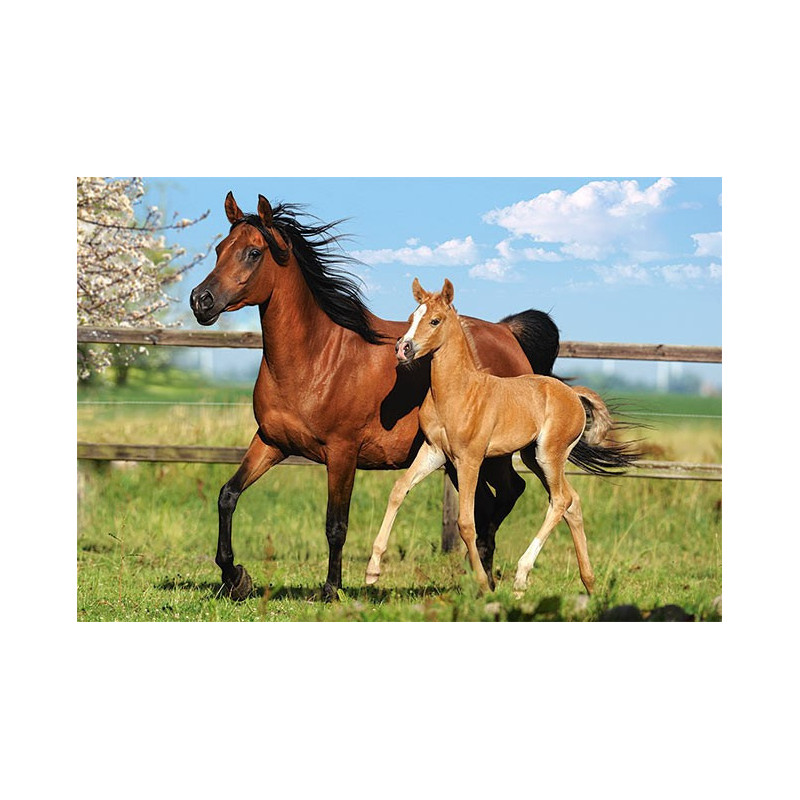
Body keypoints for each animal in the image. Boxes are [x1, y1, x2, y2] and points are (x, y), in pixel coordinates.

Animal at [190, 192, 560, 601]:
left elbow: (336, 524)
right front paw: (235, 577)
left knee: (509, 493)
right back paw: (481, 580)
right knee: (488, 503)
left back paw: (486, 576)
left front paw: (331, 590)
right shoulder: (271, 442)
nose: (201, 301)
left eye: (253, 252)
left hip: (490, 453)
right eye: (220, 249)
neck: (316, 359)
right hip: (457, 460)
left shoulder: (342, 452)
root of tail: (507, 332)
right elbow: (228, 495)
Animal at [366, 278, 638, 595]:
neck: (457, 391)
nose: (403, 349)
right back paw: (590, 584)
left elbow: (466, 522)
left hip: (549, 455)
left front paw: (483, 584)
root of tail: (573, 394)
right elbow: (399, 490)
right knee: (572, 502)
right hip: (533, 457)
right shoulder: (434, 451)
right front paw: (372, 571)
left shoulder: (469, 459)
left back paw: (521, 578)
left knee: (560, 500)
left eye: (435, 320)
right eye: (411, 318)